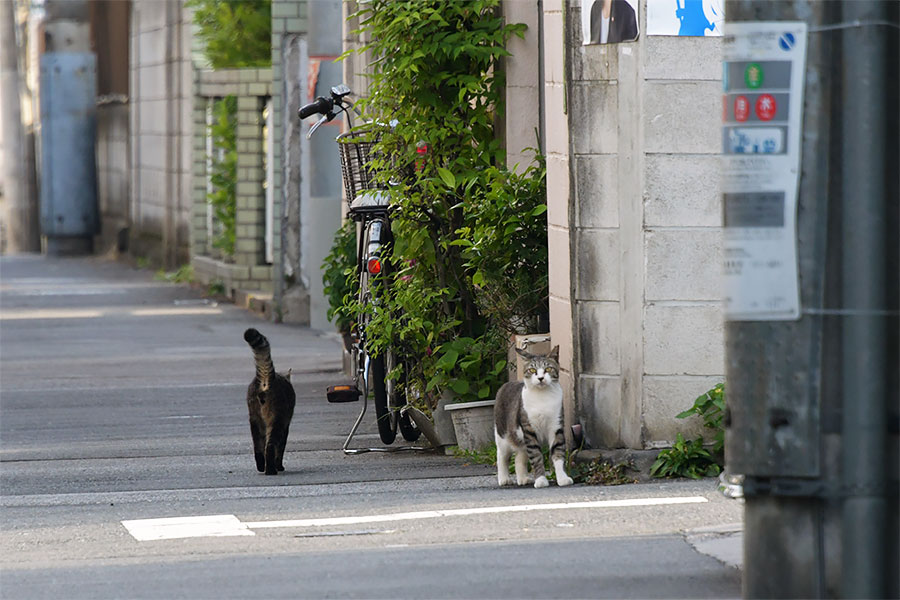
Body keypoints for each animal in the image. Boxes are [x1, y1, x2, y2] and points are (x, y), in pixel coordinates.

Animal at [243, 328, 296, 474]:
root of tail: (266, 380)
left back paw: (262, 466)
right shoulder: (285, 424)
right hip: (276, 417)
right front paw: (280, 465)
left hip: (254, 418)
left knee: (258, 446)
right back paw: (271, 470)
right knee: (271, 446)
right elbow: (281, 448)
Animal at [492, 346, 576, 488]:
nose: (541, 378)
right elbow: (536, 456)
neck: (542, 397)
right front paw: (541, 480)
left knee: (520, 456)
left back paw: (523, 478)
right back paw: (504, 479)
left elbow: (558, 452)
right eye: (532, 370)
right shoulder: (529, 430)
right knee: (502, 455)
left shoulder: (556, 426)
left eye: (548, 369)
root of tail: (506, 384)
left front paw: (562, 478)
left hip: (521, 440)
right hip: (503, 433)